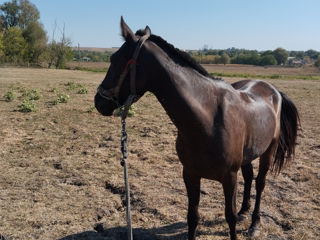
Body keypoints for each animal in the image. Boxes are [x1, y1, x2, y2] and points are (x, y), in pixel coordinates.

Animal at [94, 16, 298, 240]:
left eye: (115, 59)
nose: (99, 101)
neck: (207, 121)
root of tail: (273, 90)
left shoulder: (229, 178)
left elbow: (230, 216)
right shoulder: (190, 173)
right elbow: (193, 216)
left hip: (269, 150)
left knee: (260, 183)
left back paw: (254, 224)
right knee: (249, 177)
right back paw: (245, 212)